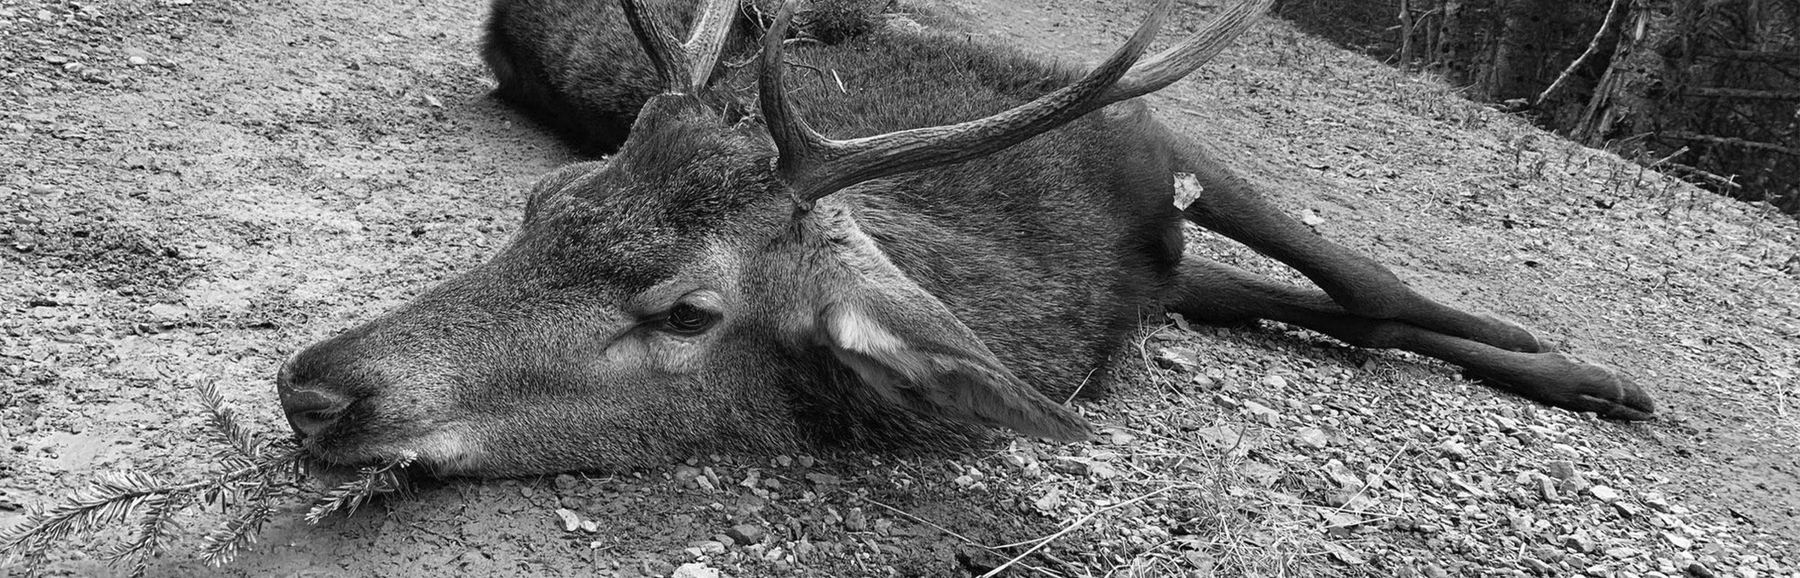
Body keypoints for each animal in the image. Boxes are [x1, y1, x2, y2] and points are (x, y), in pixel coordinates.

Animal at [274, 0, 1655, 477]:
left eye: (687, 313)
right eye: (542, 205)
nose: (318, 387)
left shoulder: (1152, 139)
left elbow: (1360, 273)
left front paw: (1590, 370)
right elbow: (1339, 299)